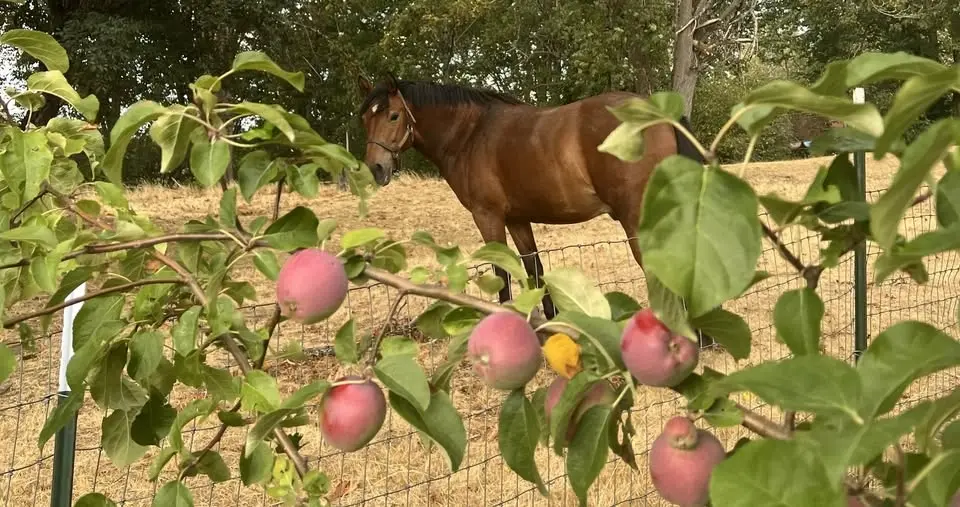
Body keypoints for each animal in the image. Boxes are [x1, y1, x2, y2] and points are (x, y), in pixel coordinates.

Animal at [355, 73, 706, 323]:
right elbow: (534, 268)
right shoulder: (518, 219)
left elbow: (502, 272)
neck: (470, 135)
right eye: (365, 119)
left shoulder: (488, 217)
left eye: (393, 116)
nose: (376, 168)